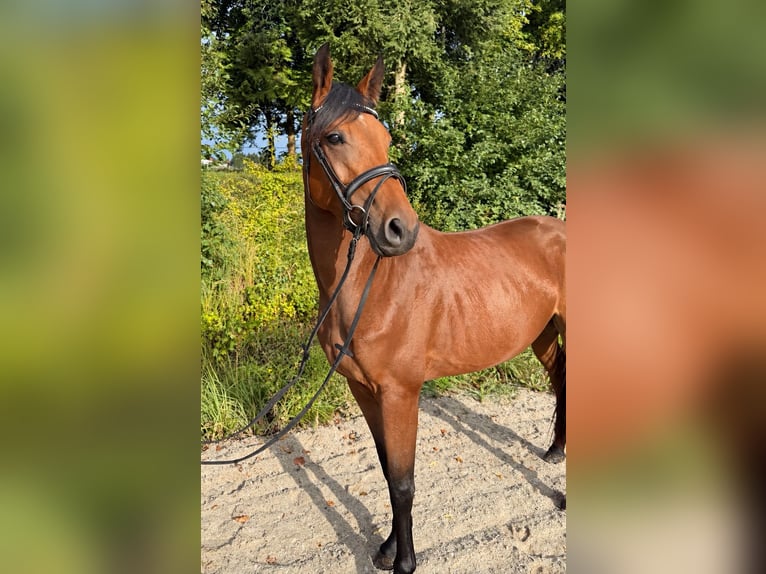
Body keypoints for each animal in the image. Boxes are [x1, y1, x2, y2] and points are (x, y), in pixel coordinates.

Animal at [301, 43, 566, 574]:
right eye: (334, 137)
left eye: (386, 138)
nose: (400, 229)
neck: (371, 289)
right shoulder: (365, 390)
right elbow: (387, 470)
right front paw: (386, 548)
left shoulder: (401, 392)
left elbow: (404, 482)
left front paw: (405, 561)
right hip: (544, 333)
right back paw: (554, 453)